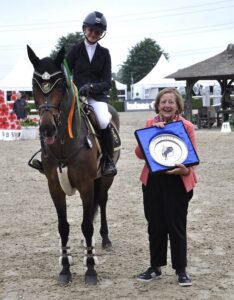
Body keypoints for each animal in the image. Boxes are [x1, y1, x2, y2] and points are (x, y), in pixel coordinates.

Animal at [27, 45, 120, 284]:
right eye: (34, 85)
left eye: (60, 85)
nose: (47, 129)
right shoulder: (54, 187)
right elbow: (63, 227)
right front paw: (65, 269)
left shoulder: (86, 185)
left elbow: (86, 225)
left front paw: (91, 270)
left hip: (105, 178)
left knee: (102, 202)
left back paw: (105, 239)